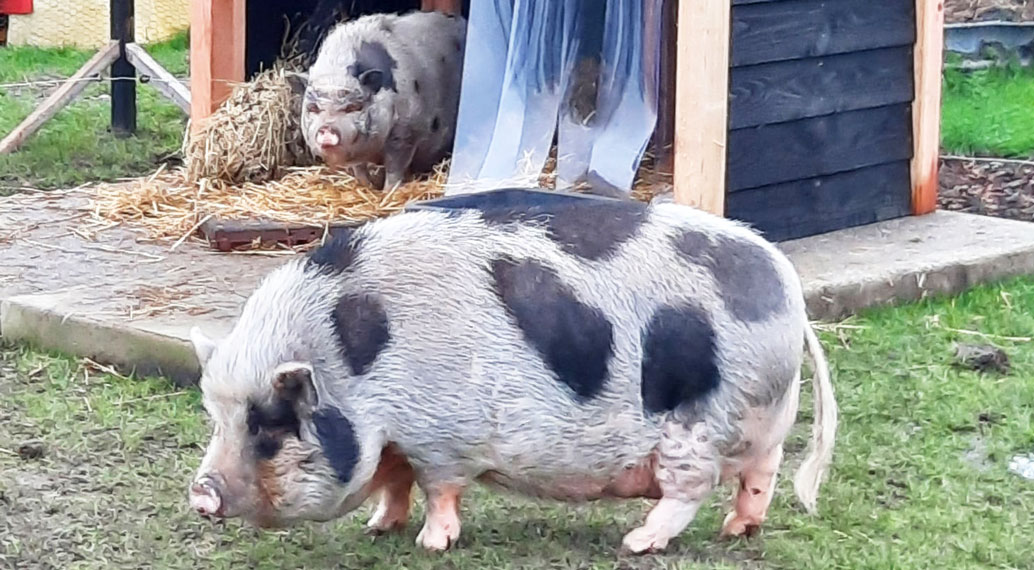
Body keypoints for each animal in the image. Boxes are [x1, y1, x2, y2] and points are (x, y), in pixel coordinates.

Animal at [186, 190, 835, 554]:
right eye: (218, 420)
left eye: (271, 427)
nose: (200, 491)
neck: (351, 365)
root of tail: (786, 287)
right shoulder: (400, 441)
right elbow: (394, 483)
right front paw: (377, 528)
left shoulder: (440, 438)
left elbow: (438, 490)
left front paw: (430, 545)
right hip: (756, 419)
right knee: (762, 474)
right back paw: (737, 531)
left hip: (698, 425)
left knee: (690, 490)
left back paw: (637, 543)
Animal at [301, 10, 467, 191]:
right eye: (313, 108)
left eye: (354, 107)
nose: (327, 129)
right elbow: (359, 169)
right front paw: (366, 187)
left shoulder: (407, 132)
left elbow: (395, 168)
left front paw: (388, 192)